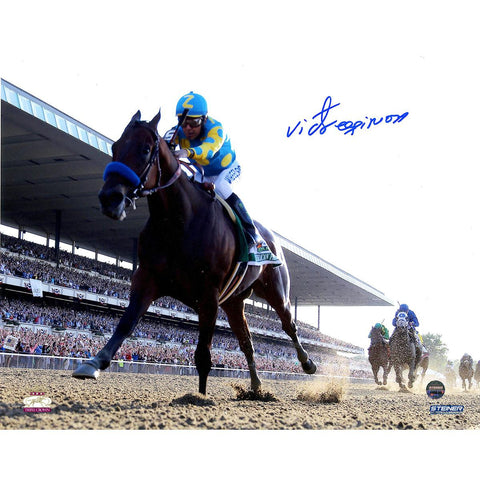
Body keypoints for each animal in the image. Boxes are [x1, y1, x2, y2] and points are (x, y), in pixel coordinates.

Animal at [72, 111, 318, 394]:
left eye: (145, 149)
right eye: (115, 147)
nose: (109, 198)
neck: (178, 221)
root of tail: (272, 238)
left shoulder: (208, 294)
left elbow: (203, 355)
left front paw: (200, 397)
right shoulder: (148, 278)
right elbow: (126, 322)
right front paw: (93, 362)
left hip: (276, 290)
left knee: (288, 324)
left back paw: (308, 363)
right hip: (234, 302)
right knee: (247, 342)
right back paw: (256, 387)